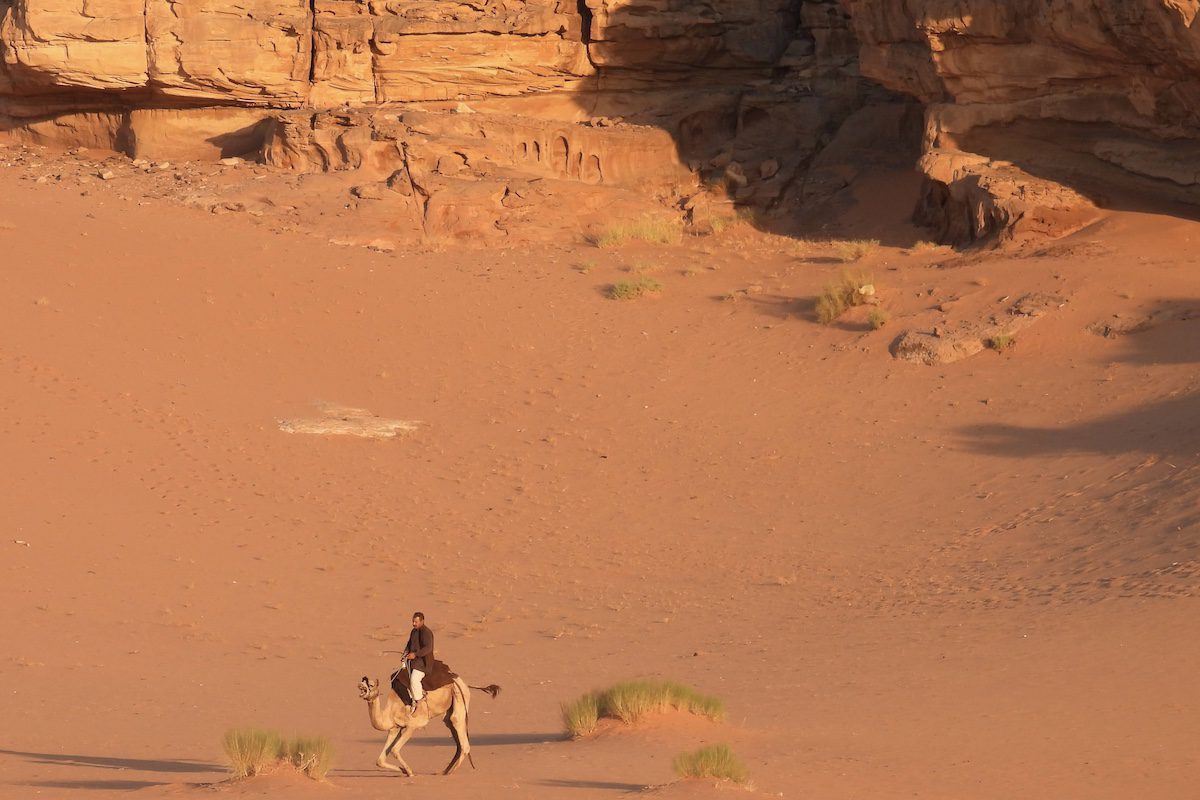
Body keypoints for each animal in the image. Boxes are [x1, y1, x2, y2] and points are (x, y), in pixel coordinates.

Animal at [358, 671, 500, 776]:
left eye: (371, 685)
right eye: (362, 682)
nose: (361, 686)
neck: (391, 709)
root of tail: (464, 683)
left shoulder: (412, 726)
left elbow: (395, 750)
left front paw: (409, 772)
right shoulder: (395, 728)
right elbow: (380, 760)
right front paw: (403, 770)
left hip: (460, 699)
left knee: (463, 740)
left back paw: (449, 773)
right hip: (449, 713)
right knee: (456, 739)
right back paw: (443, 771)